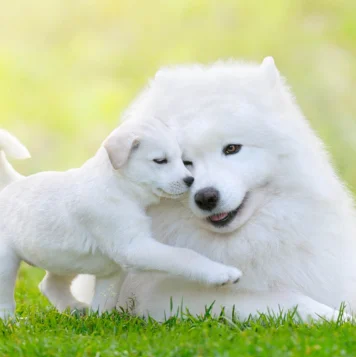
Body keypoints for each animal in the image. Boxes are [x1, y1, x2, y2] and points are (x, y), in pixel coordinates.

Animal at [0, 119, 242, 318]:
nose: (190, 180)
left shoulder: (113, 270)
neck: (120, 188)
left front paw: (100, 322)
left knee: (49, 284)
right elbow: (184, 256)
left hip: (64, 260)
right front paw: (222, 273)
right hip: (7, 263)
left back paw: (75, 308)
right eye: (160, 161)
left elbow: (105, 299)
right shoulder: (134, 248)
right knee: (7, 298)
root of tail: (12, 184)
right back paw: (12, 323)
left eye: (181, 159)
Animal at [71, 56, 356, 320]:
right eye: (185, 161)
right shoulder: (166, 297)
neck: (240, 243)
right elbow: (287, 299)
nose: (206, 197)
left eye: (232, 148)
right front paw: (337, 318)